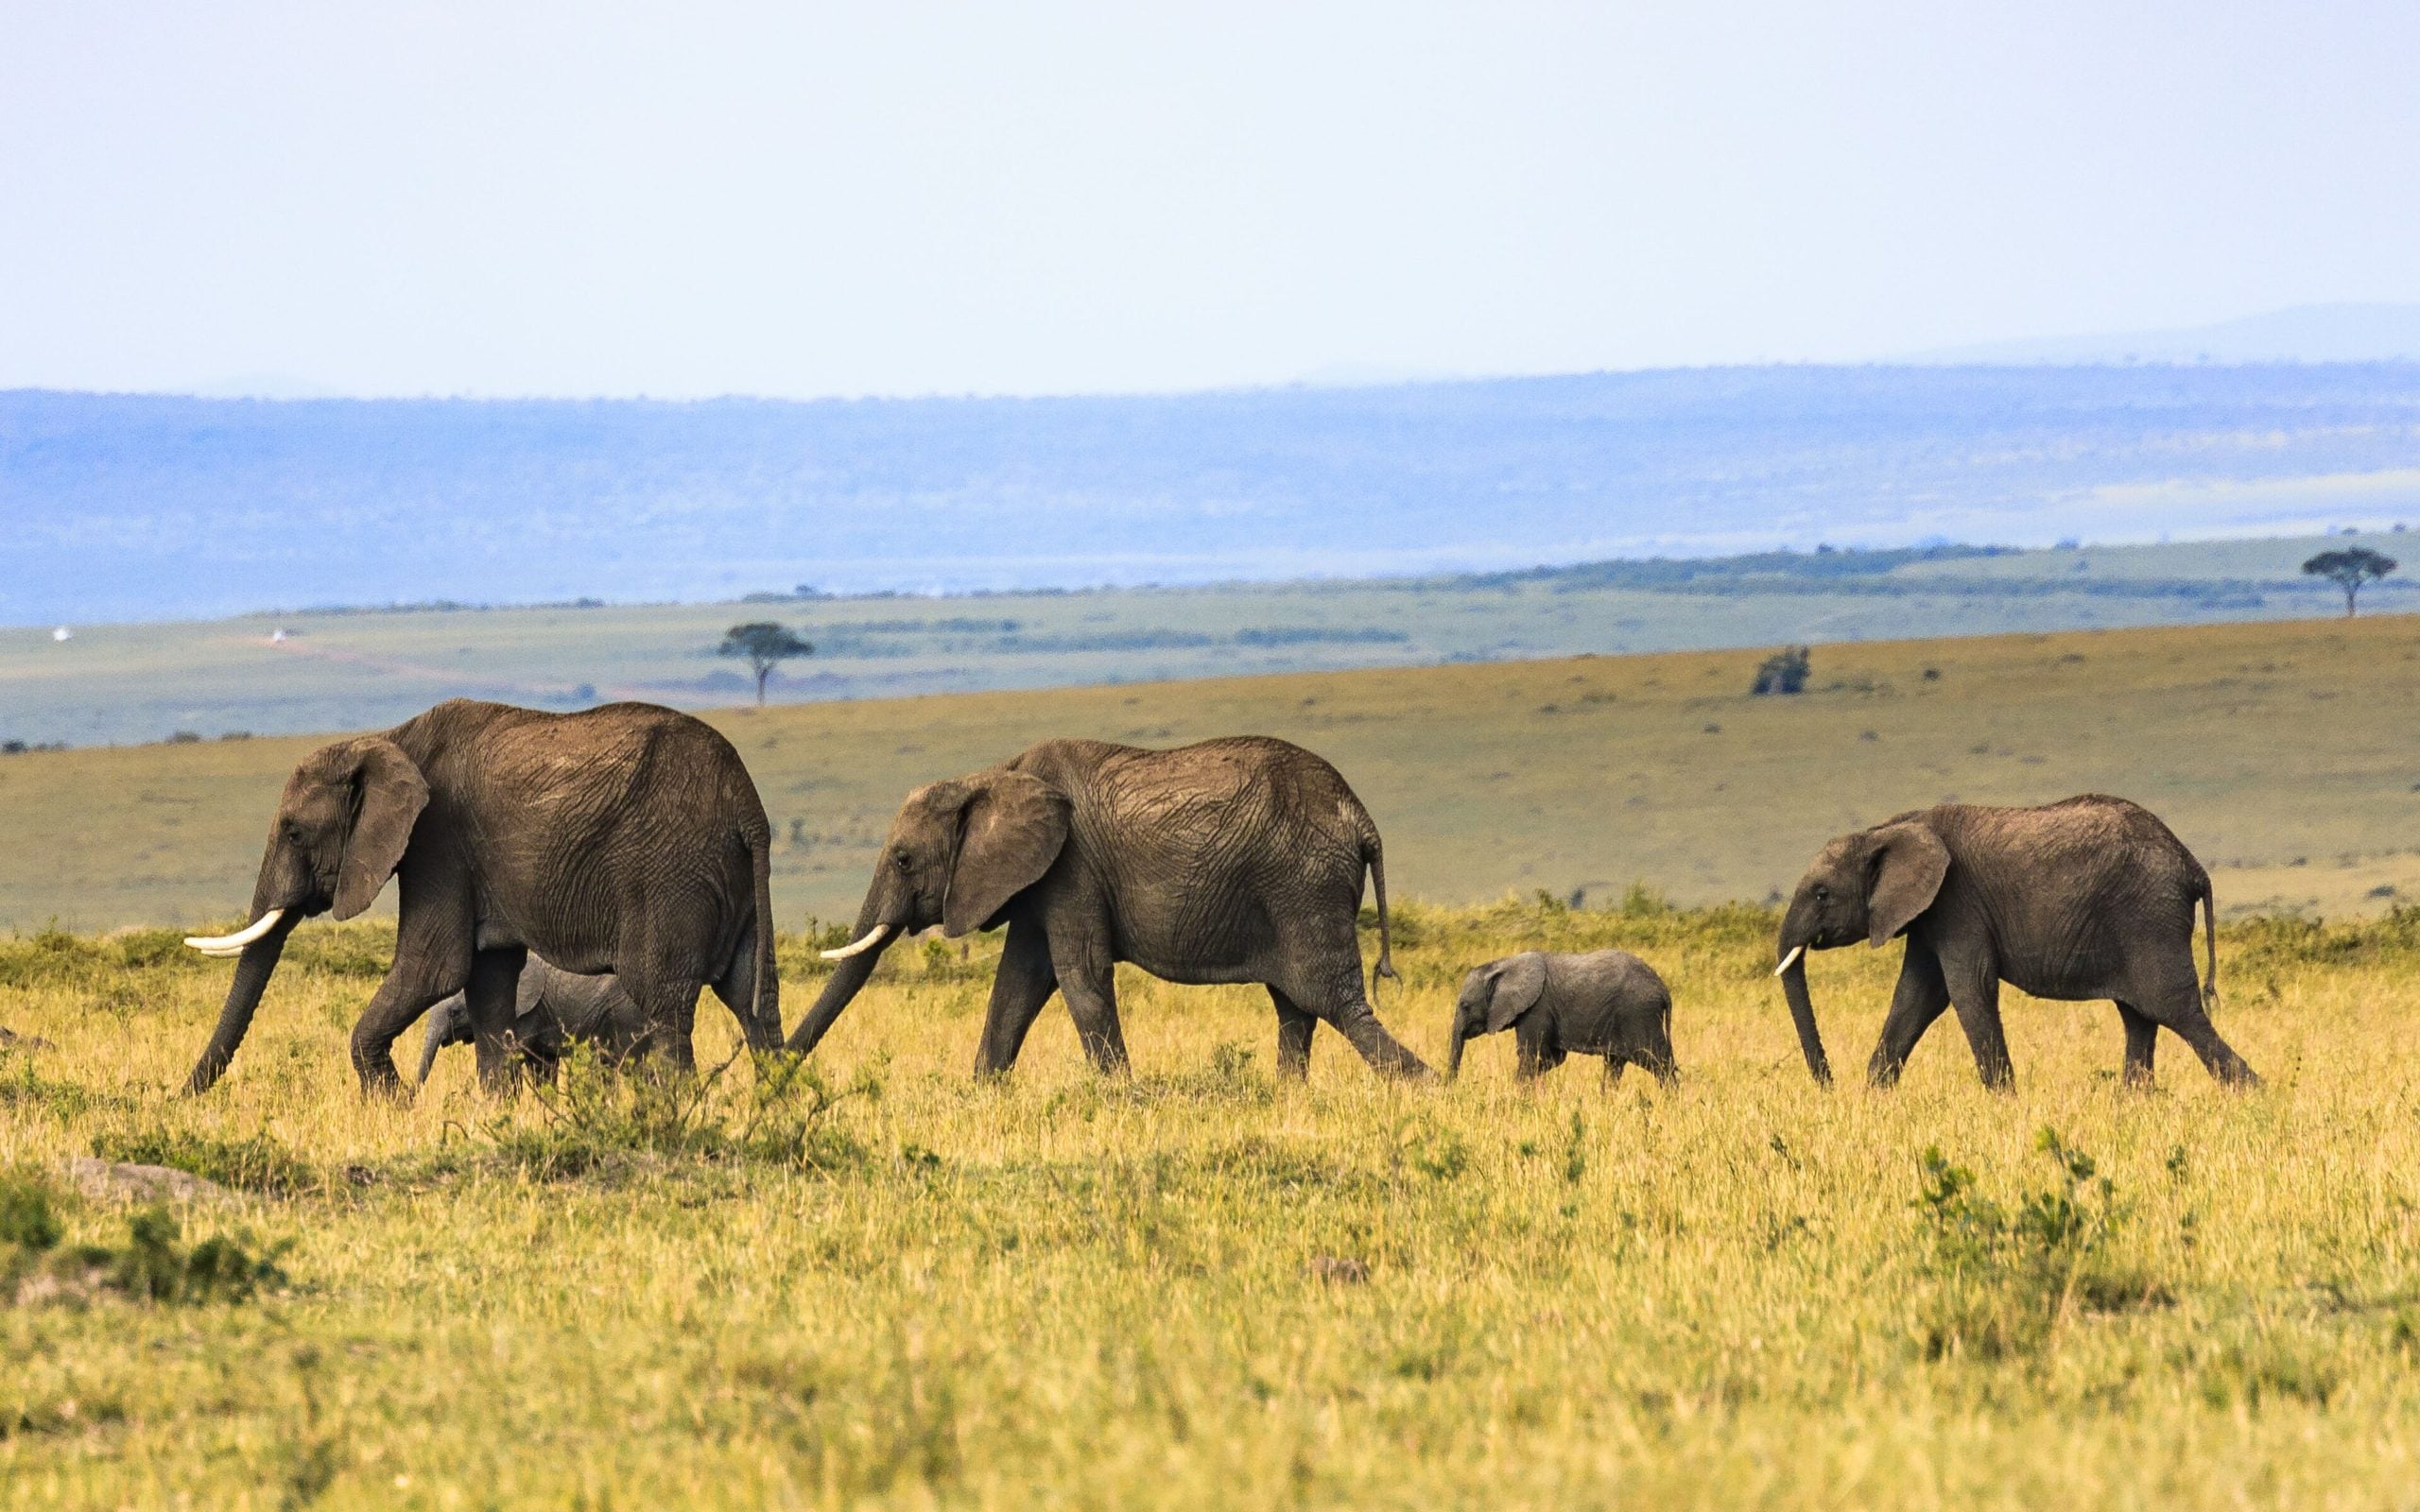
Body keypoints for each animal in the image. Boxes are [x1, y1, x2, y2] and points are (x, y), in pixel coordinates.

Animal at [785, 736, 1432, 1080]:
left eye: (901, 860)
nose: (774, 1070)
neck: (991, 776)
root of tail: (1363, 820)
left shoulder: (1072, 868)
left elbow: (1080, 975)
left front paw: (1124, 1097)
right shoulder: (1040, 880)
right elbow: (1018, 984)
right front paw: (980, 1094)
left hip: (1304, 887)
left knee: (1333, 1000)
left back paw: (1428, 1088)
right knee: (1297, 1007)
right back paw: (1287, 1097)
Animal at [1447, 950, 1676, 1085]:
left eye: (1465, 1006)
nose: (1452, 1085)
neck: (1504, 964)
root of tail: (1663, 989)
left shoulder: (1537, 1009)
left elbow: (1530, 1055)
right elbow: (1552, 1058)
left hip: (1639, 1015)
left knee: (1658, 1062)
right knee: (1614, 1065)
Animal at [1772, 794, 2257, 1091]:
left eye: (1822, 894)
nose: (1828, 1084)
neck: (1888, 829)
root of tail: (2193, 866)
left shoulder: (1958, 902)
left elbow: (1968, 989)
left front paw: (2005, 1101)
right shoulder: (1930, 914)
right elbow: (1916, 996)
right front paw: (1873, 1096)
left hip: (2149, 919)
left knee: (2174, 1010)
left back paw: (2253, 1094)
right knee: (2139, 1017)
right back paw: (2134, 1105)